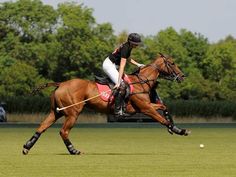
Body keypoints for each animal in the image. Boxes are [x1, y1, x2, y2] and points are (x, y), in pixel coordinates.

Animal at [22, 53, 190, 155]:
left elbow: (164, 108)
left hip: (56, 111)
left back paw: (26, 147)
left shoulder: (143, 108)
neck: (141, 81)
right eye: (172, 63)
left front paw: (174, 128)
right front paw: (179, 130)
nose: (182, 76)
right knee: (63, 131)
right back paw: (74, 150)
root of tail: (61, 83)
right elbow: (161, 118)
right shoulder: (145, 108)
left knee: (41, 127)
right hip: (73, 113)